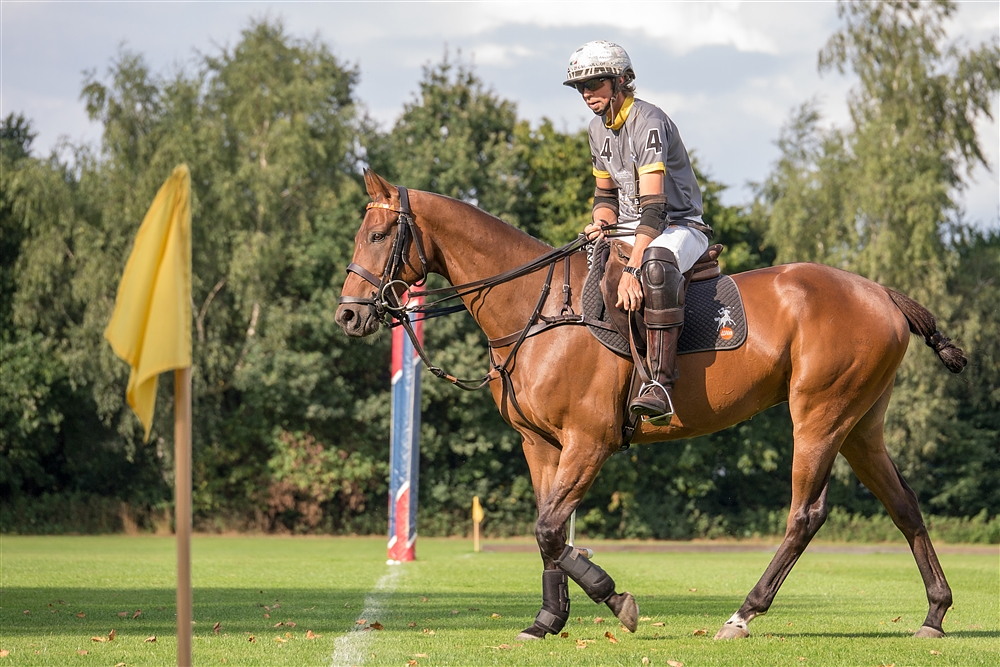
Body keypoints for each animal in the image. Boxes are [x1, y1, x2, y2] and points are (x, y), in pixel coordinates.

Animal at [338, 171, 968, 640]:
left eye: (379, 235)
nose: (348, 315)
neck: (537, 310)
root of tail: (882, 293)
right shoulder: (539, 444)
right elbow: (549, 531)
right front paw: (548, 620)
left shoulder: (589, 441)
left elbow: (551, 530)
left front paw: (615, 599)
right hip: (861, 424)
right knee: (903, 504)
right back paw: (935, 614)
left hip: (820, 414)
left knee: (805, 514)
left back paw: (742, 614)